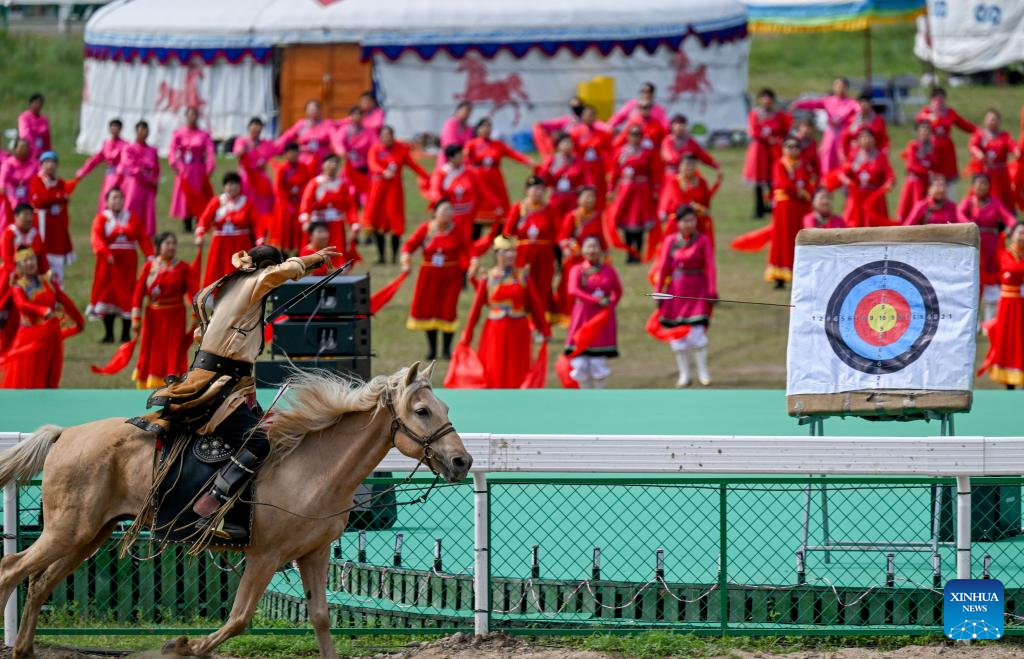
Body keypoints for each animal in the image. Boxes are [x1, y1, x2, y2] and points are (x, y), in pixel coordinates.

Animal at [0, 362, 471, 654]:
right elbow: (240, 617)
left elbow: (320, 618)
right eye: (422, 410)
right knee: (11, 568)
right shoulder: (264, 556)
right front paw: (183, 646)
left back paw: (23, 649)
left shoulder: (313, 554)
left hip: (88, 535)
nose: (462, 461)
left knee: (38, 583)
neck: (313, 464)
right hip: (66, 531)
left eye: (445, 407)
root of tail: (64, 435)